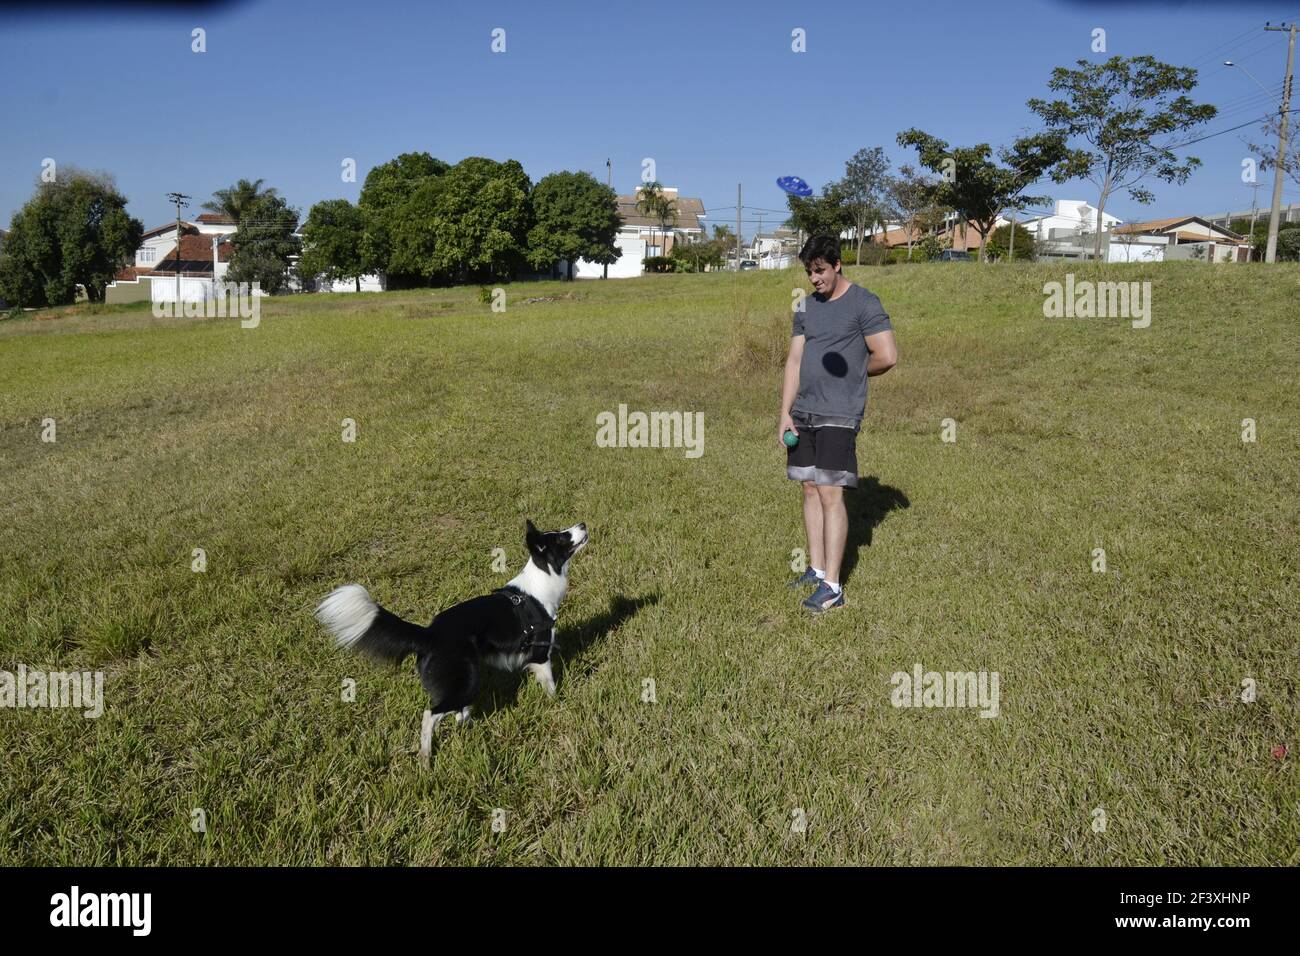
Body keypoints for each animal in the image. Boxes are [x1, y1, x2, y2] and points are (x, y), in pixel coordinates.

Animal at [314, 520, 590, 728]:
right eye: (562, 538)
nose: (583, 524)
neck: (542, 581)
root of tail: (428, 634)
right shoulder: (541, 656)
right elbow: (551, 686)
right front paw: (557, 703)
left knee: (458, 712)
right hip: (465, 679)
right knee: (432, 715)